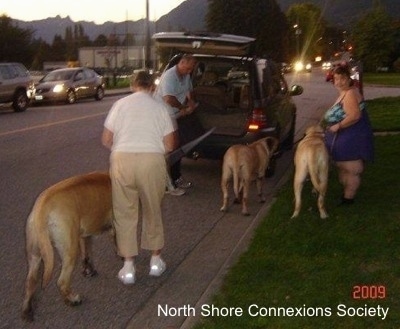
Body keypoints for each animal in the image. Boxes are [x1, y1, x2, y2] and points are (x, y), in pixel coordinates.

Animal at [21, 172, 113, 320]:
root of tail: (41, 207)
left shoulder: (84, 235)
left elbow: (87, 255)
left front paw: (89, 270)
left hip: (34, 254)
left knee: (30, 281)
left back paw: (27, 310)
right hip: (69, 251)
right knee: (62, 282)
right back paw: (72, 300)